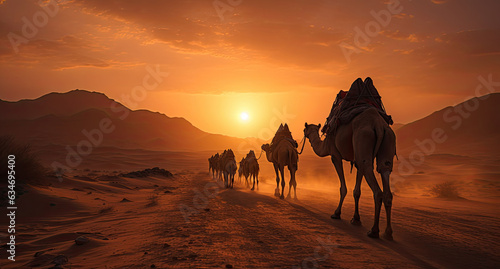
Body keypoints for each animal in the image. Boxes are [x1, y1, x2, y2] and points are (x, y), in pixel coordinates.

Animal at [302, 105, 396, 238]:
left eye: (304, 130)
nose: (304, 135)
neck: (325, 144)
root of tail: (378, 124)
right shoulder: (357, 160)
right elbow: (357, 191)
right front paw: (356, 219)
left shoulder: (335, 155)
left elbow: (343, 188)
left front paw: (336, 213)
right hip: (387, 140)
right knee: (383, 172)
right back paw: (388, 233)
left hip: (363, 136)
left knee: (378, 191)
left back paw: (374, 231)